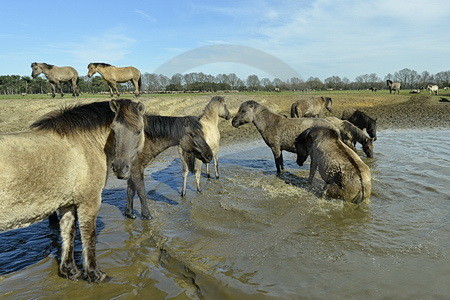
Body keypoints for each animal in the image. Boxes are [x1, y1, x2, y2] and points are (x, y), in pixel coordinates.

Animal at [0, 99, 146, 282]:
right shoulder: (89, 201)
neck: (83, 144)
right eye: (113, 129)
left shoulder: (67, 203)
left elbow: (68, 232)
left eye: (138, 131)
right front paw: (94, 274)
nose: (120, 169)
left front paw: (70, 270)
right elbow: (88, 234)